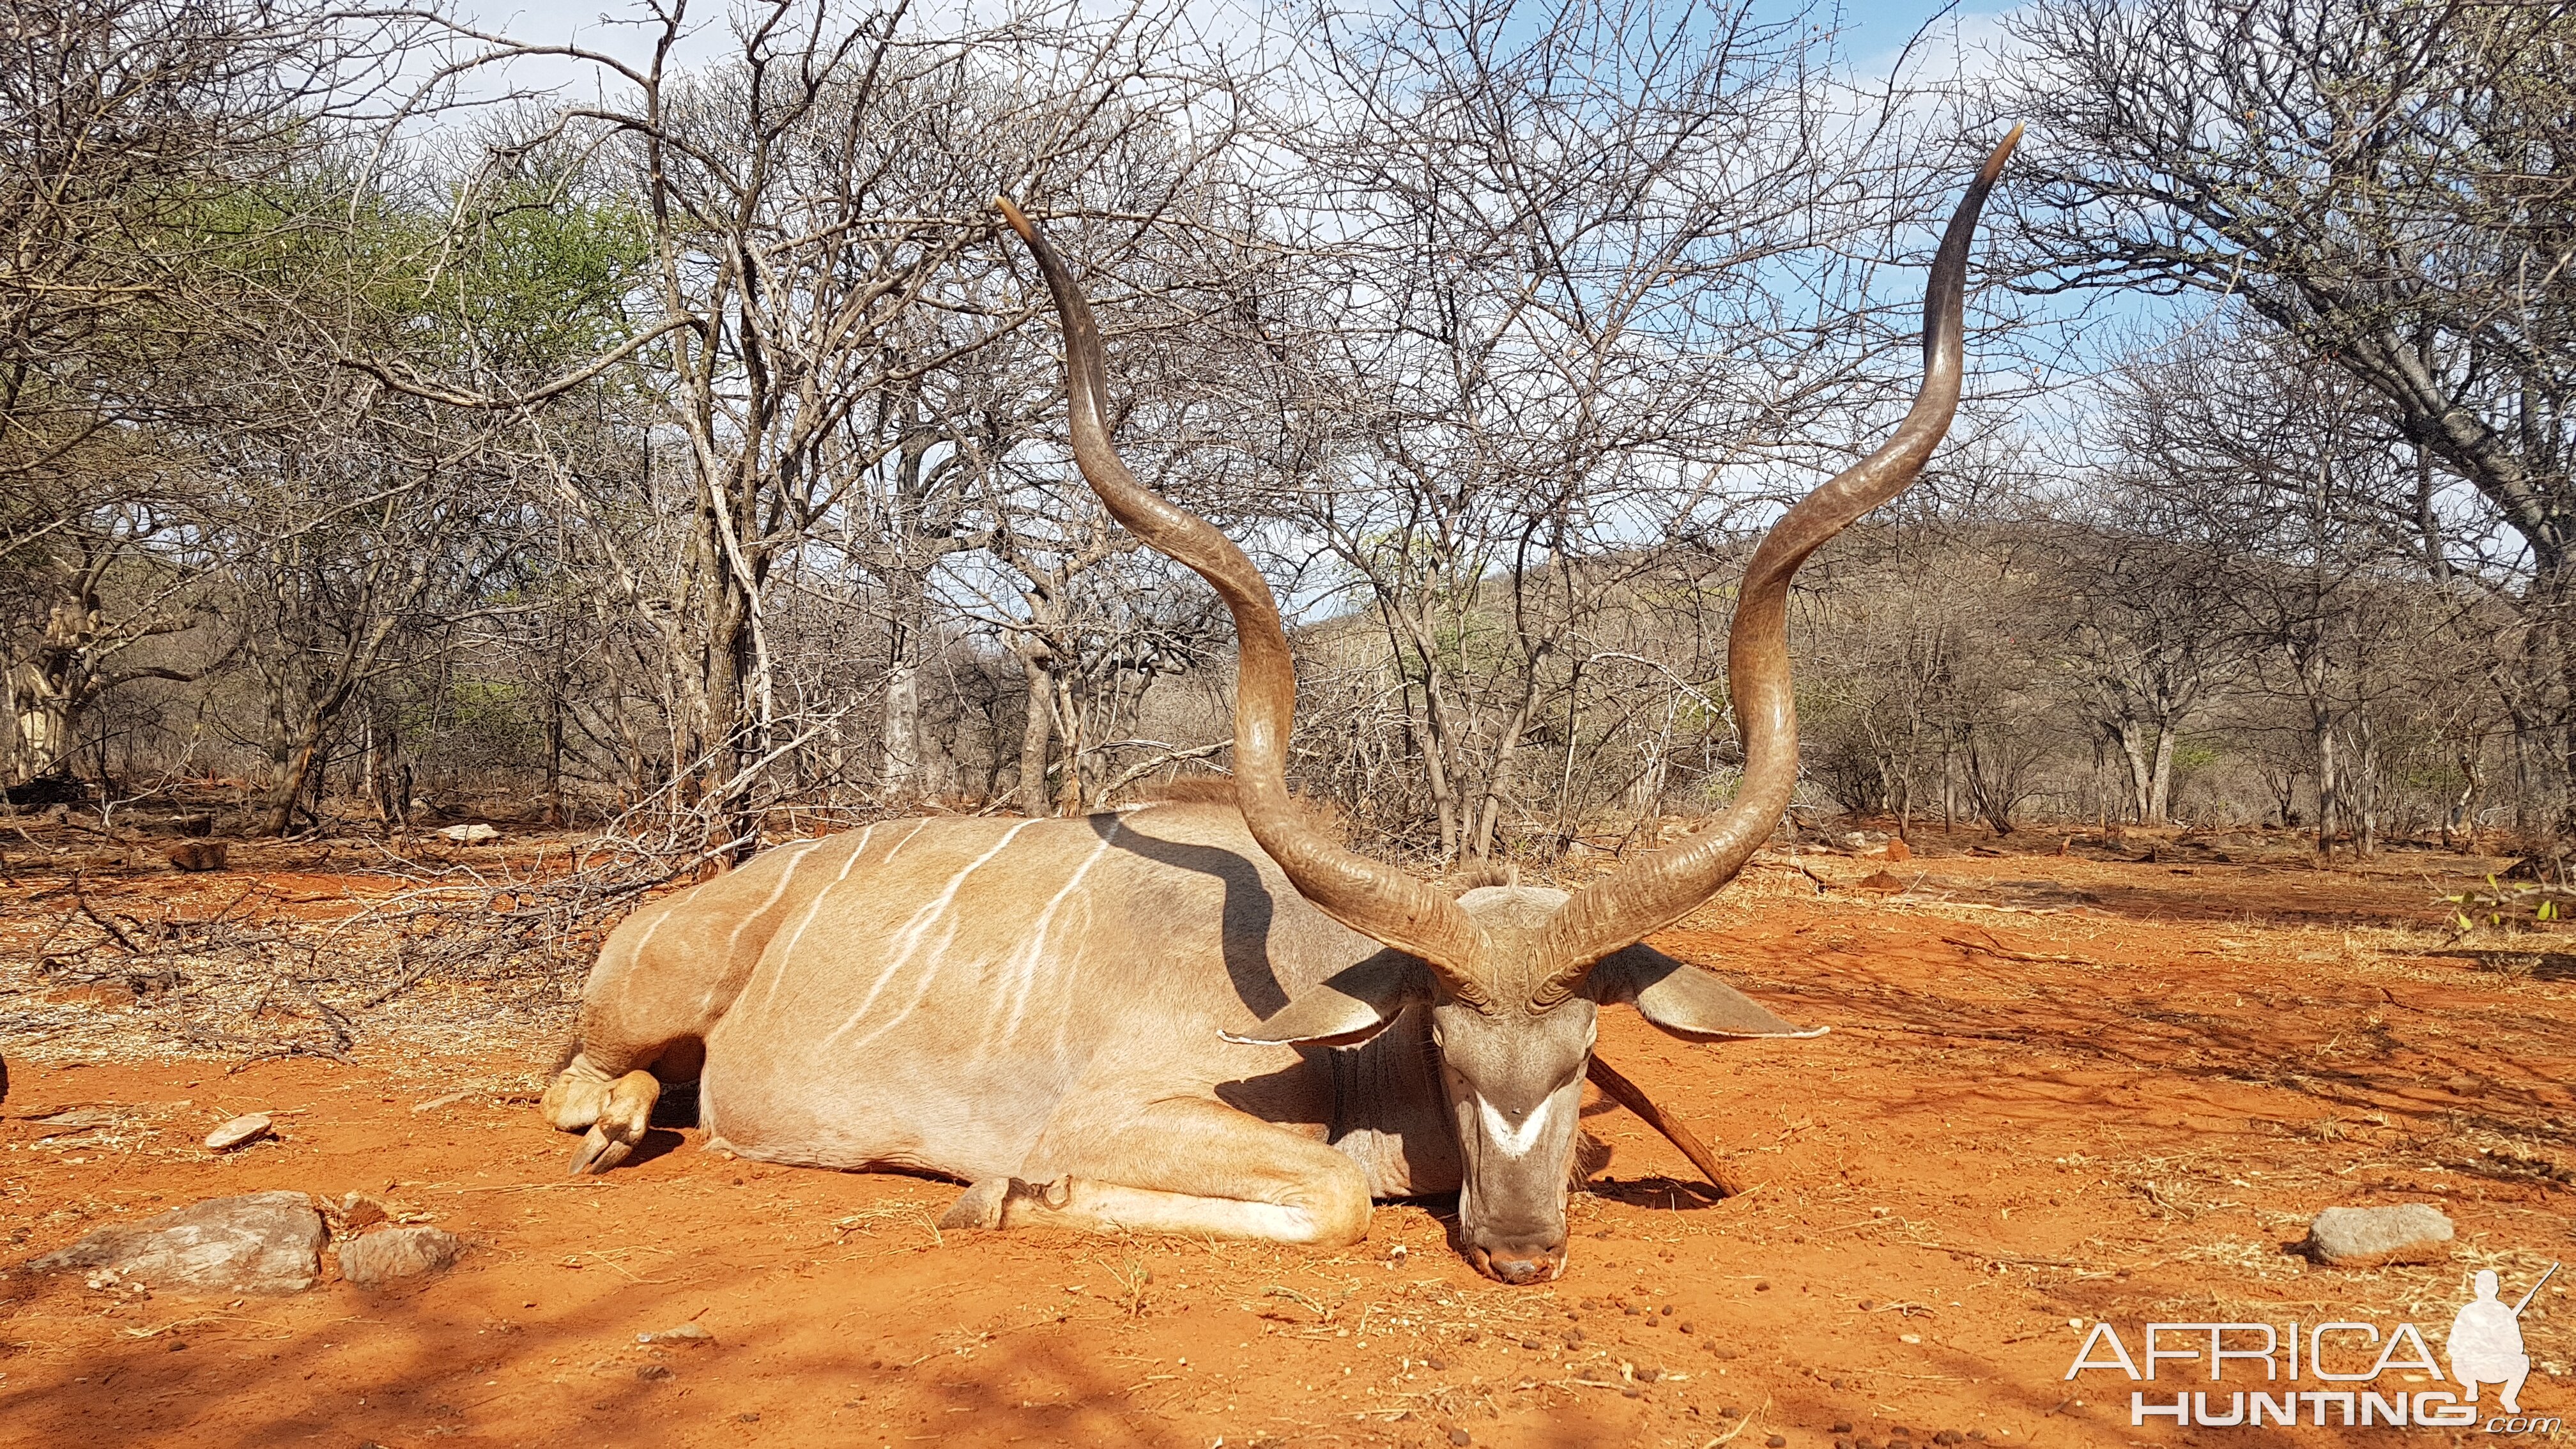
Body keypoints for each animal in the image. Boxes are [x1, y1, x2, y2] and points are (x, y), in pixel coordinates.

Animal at [543, 129, 2020, 1278]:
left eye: (1583, 1041)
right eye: (1451, 1047)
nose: (1521, 1249)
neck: (1339, 1022)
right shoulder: (1121, 1110)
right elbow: (1329, 1195)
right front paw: (1004, 1197)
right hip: (638, 1003)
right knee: (577, 1079)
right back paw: (613, 1126)